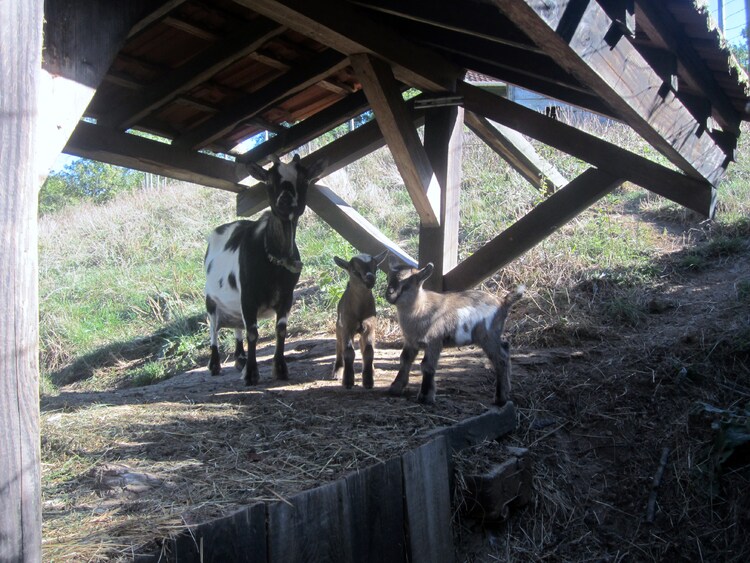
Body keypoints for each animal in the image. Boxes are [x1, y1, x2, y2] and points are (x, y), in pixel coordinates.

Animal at [206, 153, 326, 384]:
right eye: (269, 180)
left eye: (304, 178)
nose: (285, 199)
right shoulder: (248, 295)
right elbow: (253, 332)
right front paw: (251, 374)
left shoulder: (287, 296)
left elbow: (281, 330)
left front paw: (280, 369)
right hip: (211, 299)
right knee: (214, 329)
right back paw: (215, 364)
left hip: (235, 305)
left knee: (237, 325)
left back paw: (240, 359)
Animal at [384, 258, 524, 408]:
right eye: (389, 278)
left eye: (408, 282)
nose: (389, 294)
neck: (421, 307)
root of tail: (502, 302)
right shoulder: (411, 341)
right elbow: (404, 360)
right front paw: (396, 387)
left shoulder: (434, 342)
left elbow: (427, 365)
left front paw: (425, 396)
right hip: (494, 335)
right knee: (505, 348)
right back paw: (507, 390)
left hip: (488, 336)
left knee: (500, 360)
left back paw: (500, 398)